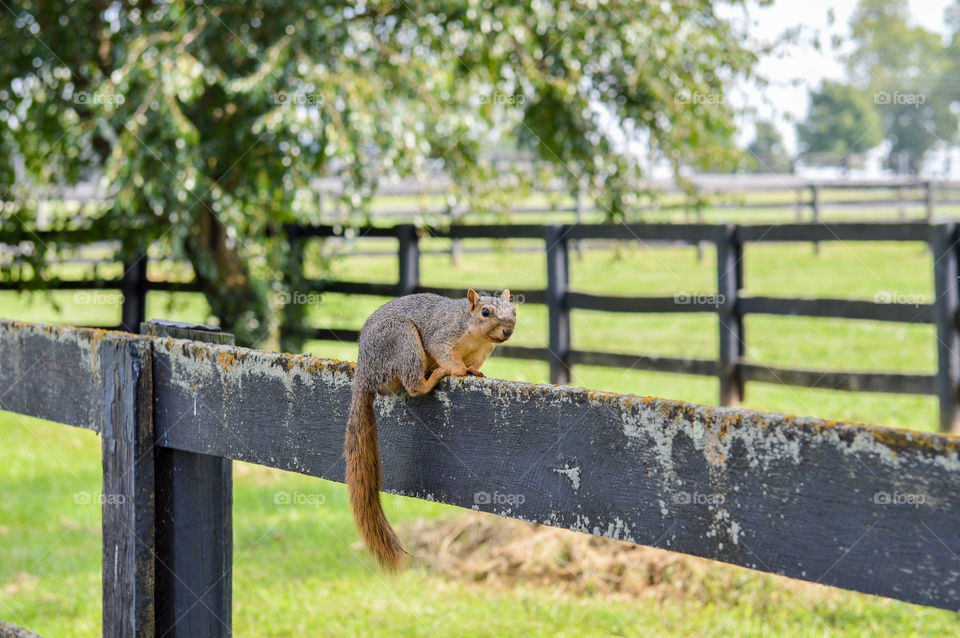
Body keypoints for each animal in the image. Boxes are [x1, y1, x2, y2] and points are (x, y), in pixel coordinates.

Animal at [342, 288, 512, 568]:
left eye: (514, 311)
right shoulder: (443, 336)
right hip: (401, 339)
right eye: (485, 312)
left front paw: (474, 371)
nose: (507, 330)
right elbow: (447, 355)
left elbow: (475, 363)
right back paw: (433, 376)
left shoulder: (481, 352)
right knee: (413, 385)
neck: (473, 333)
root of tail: (364, 371)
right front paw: (459, 370)